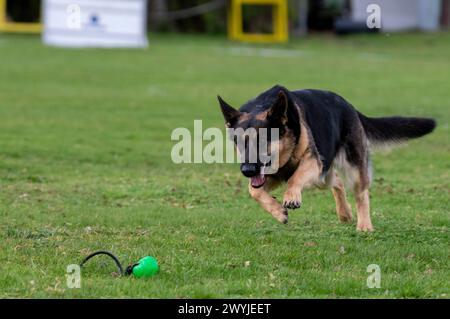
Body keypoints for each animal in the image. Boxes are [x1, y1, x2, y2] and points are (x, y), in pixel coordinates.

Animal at [218, 85, 436, 231]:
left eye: (263, 141)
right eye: (238, 142)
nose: (246, 171)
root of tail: (349, 106)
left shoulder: (312, 162)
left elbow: (295, 179)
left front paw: (291, 197)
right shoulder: (273, 176)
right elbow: (254, 191)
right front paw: (278, 212)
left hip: (348, 169)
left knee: (361, 194)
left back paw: (364, 225)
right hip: (322, 176)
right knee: (337, 182)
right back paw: (345, 213)